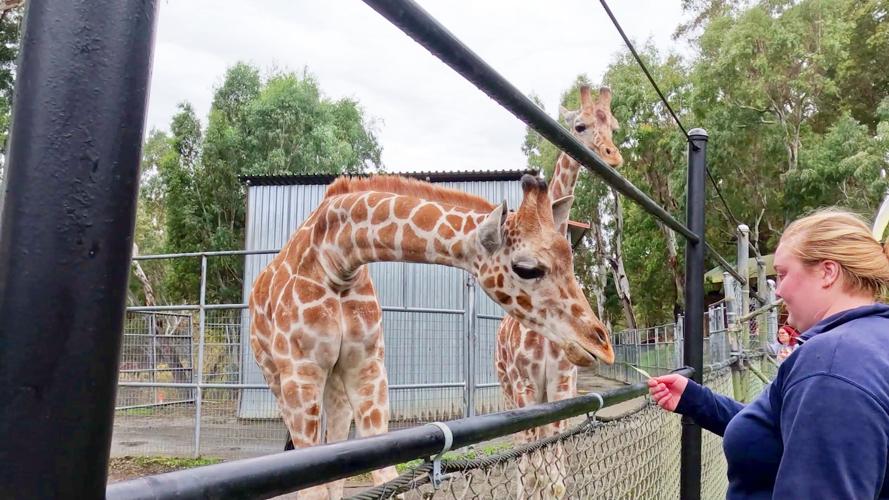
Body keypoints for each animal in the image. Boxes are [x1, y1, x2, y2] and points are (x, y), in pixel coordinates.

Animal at [248, 173, 614, 499]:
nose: (602, 345)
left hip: (335, 385)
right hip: (278, 380)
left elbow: (385, 478)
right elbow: (314, 488)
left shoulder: (366, 367)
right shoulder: (301, 372)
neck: (335, 257)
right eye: (527, 269)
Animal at [495, 85, 622, 500]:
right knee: (523, 453)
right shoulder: (526, 385)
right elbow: (534, 468)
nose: (612, 154)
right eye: (579, 125)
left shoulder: (562, 385)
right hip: (509, 388)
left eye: (612, 125)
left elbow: (555, 476)